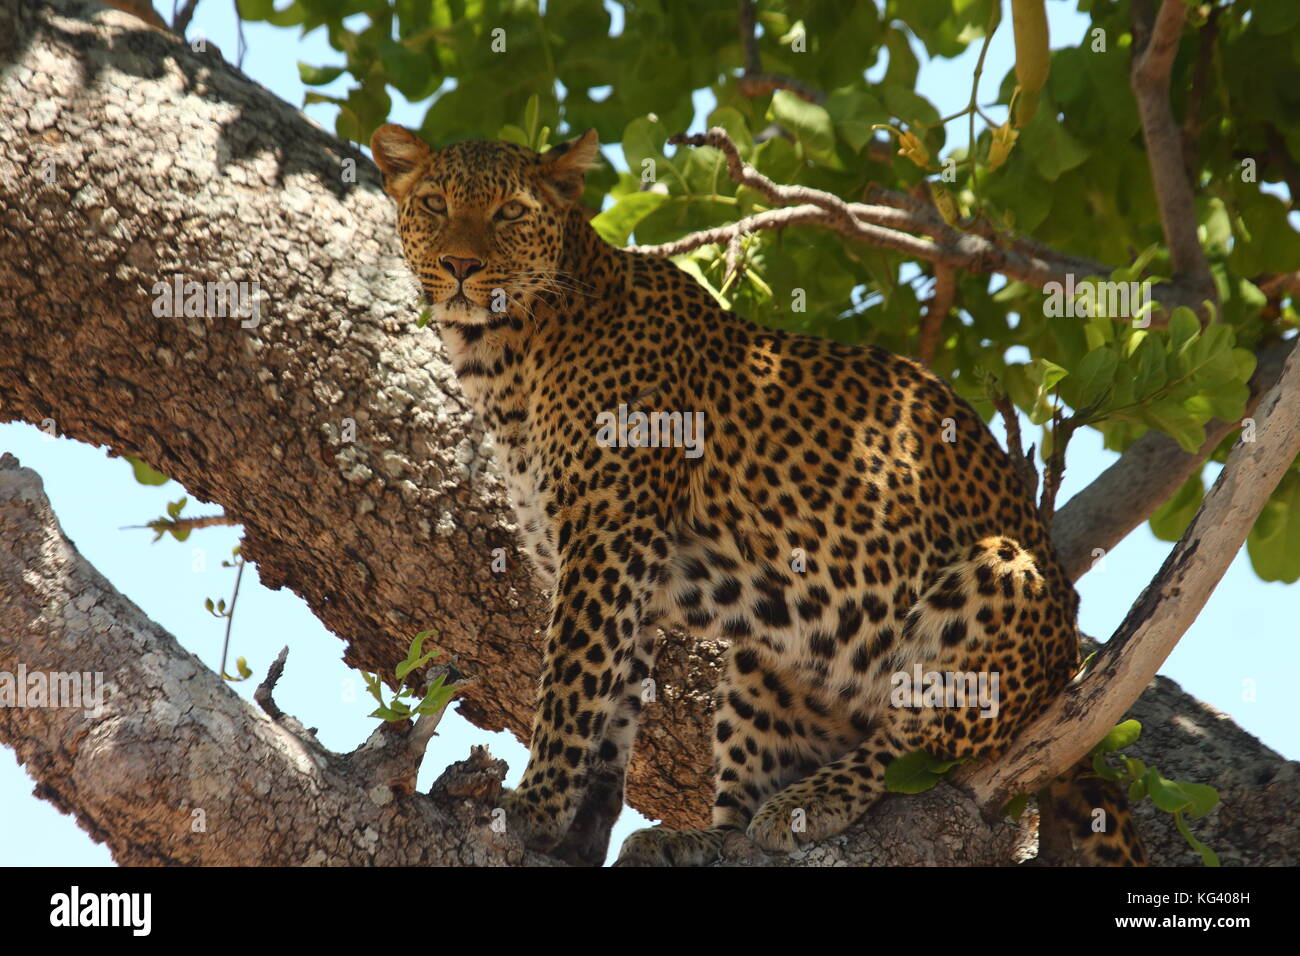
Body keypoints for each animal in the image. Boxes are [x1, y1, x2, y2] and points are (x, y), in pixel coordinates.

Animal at [369, 123, 1149, 868]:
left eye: (510, 211)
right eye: (434, 204)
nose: (462, 266)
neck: (502, 358)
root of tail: (1066, 664)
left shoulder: (610, 535)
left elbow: (572, 681)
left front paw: (533, 807)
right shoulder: (623, 565)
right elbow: (612, 702)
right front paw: (577, 832)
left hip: (999, 572)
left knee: (924, 744)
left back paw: (811, 802)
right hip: (765, 666)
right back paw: (699, 840)